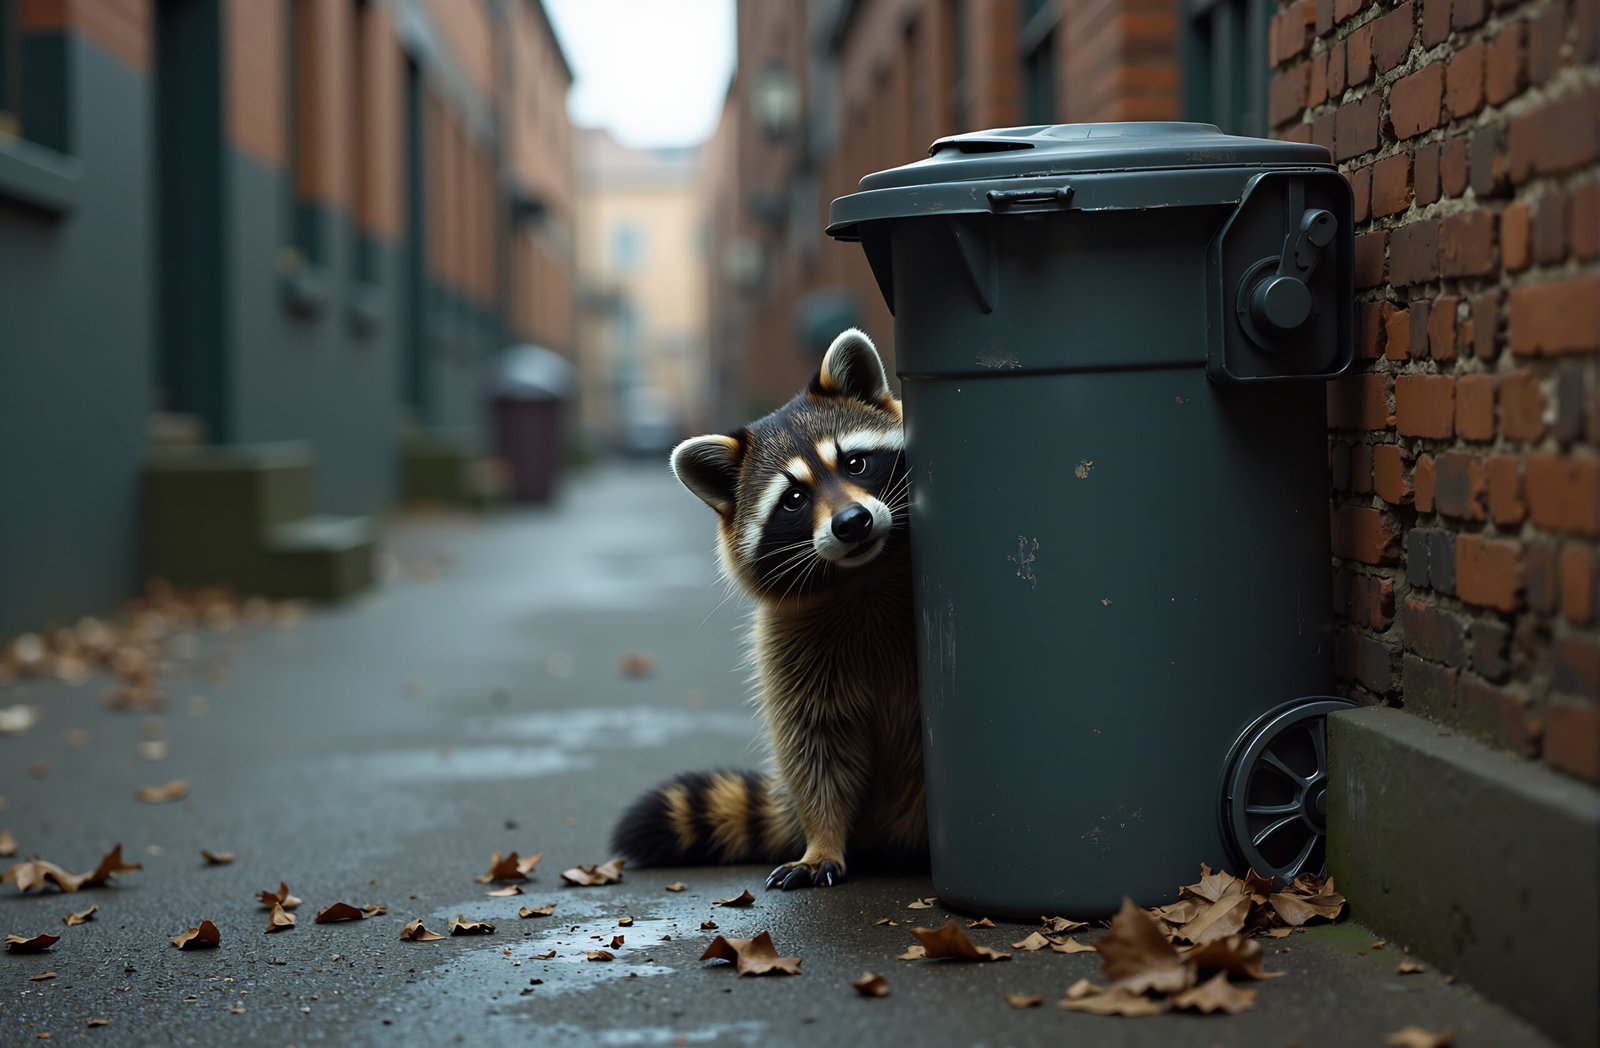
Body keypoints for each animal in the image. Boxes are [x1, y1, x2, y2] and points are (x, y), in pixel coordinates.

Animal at [611, 329, 926, 889]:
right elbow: (815, 749)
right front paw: (823, 838)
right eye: (794, 498)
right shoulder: (791, 652)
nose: (852, 523)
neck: (862, 577)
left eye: (855, 463)